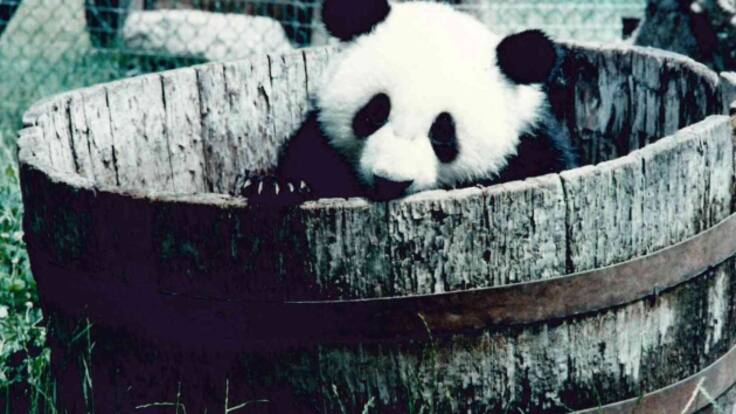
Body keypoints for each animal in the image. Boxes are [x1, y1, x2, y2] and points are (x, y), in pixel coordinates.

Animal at [242, 0, 578, 203]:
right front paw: (276, 187)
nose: (390, 182)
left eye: (443, 132)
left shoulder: (532, 145)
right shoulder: (321, 135)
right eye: (374, 113)